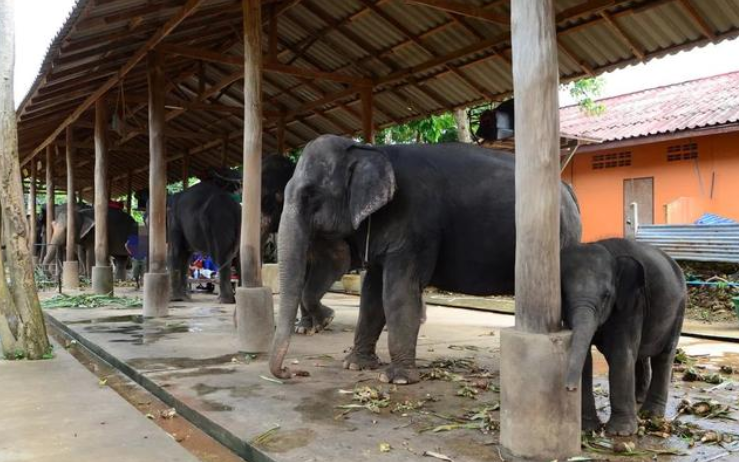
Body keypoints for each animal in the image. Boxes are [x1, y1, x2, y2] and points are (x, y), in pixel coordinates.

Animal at [560, 238, 688, 436]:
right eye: (563, 294)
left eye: (606, 296)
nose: (570, 388)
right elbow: (586, 359)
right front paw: (587, 429)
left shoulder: (632, 303)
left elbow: (620, 354)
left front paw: (621, 433)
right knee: (642, 355)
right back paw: (638, 399)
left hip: (679, 308)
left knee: (664, 356)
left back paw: (651, 414)